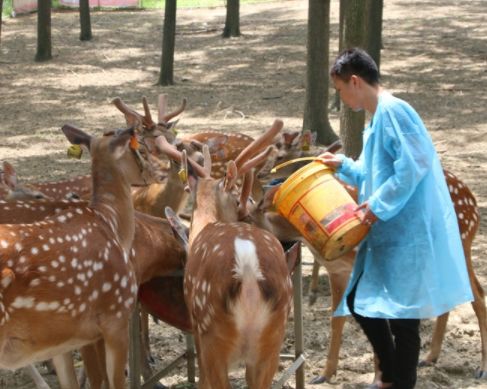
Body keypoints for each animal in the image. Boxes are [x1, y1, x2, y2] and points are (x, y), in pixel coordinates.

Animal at [154, 119, 298, 386]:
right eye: (237, 198)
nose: (246, 209)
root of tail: (248, 271)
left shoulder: (196, 326)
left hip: (212, 330)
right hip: (273, 339)